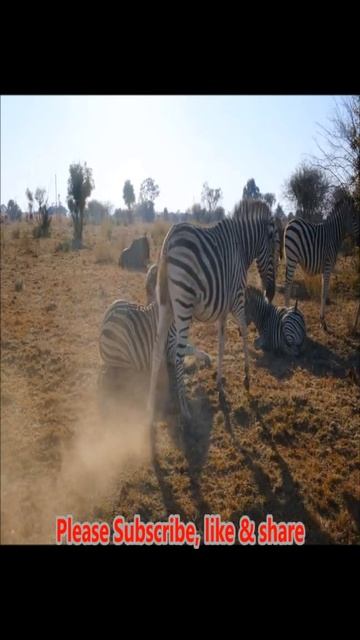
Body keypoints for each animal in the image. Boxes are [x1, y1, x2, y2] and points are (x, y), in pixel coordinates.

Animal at [148, 198, 278, 422]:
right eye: (274, 254)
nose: (270, 293)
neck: (242, 247)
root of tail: (168, 241)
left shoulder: (223, 309)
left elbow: (221, 341)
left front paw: (219, 381)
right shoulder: (237, 299)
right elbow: (244, 332)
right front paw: (246, 377)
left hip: (166, 305)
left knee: (157, 349)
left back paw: (151, 403)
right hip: (184, 305)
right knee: (177, 353)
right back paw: (185, 409)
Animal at [286, 195, 358, 330]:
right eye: (354, 217)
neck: (334, 235)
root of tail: (290, 222)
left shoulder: (326, 268)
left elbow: (323, 291)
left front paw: (322, 318)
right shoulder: (328, 266)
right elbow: (324, 292)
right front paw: (322, 321)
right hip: (292, 258)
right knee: (287, 284)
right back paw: (285, 311)